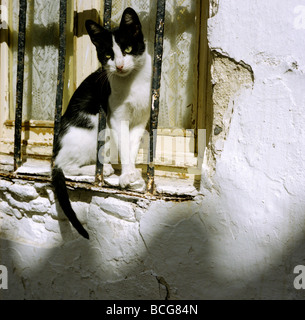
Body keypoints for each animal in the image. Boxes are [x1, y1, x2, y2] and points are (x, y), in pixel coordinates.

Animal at [52, 7, 152, 239]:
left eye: (128, 49)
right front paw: (126, 175)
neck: (133, 82)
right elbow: (124, 146)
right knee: (65, 166)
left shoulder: (141, 119)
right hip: (93, 130)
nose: (120, 66)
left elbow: (132, 146)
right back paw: (103, 170)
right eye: (107, 55)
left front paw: (132, 175)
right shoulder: (116, 116)